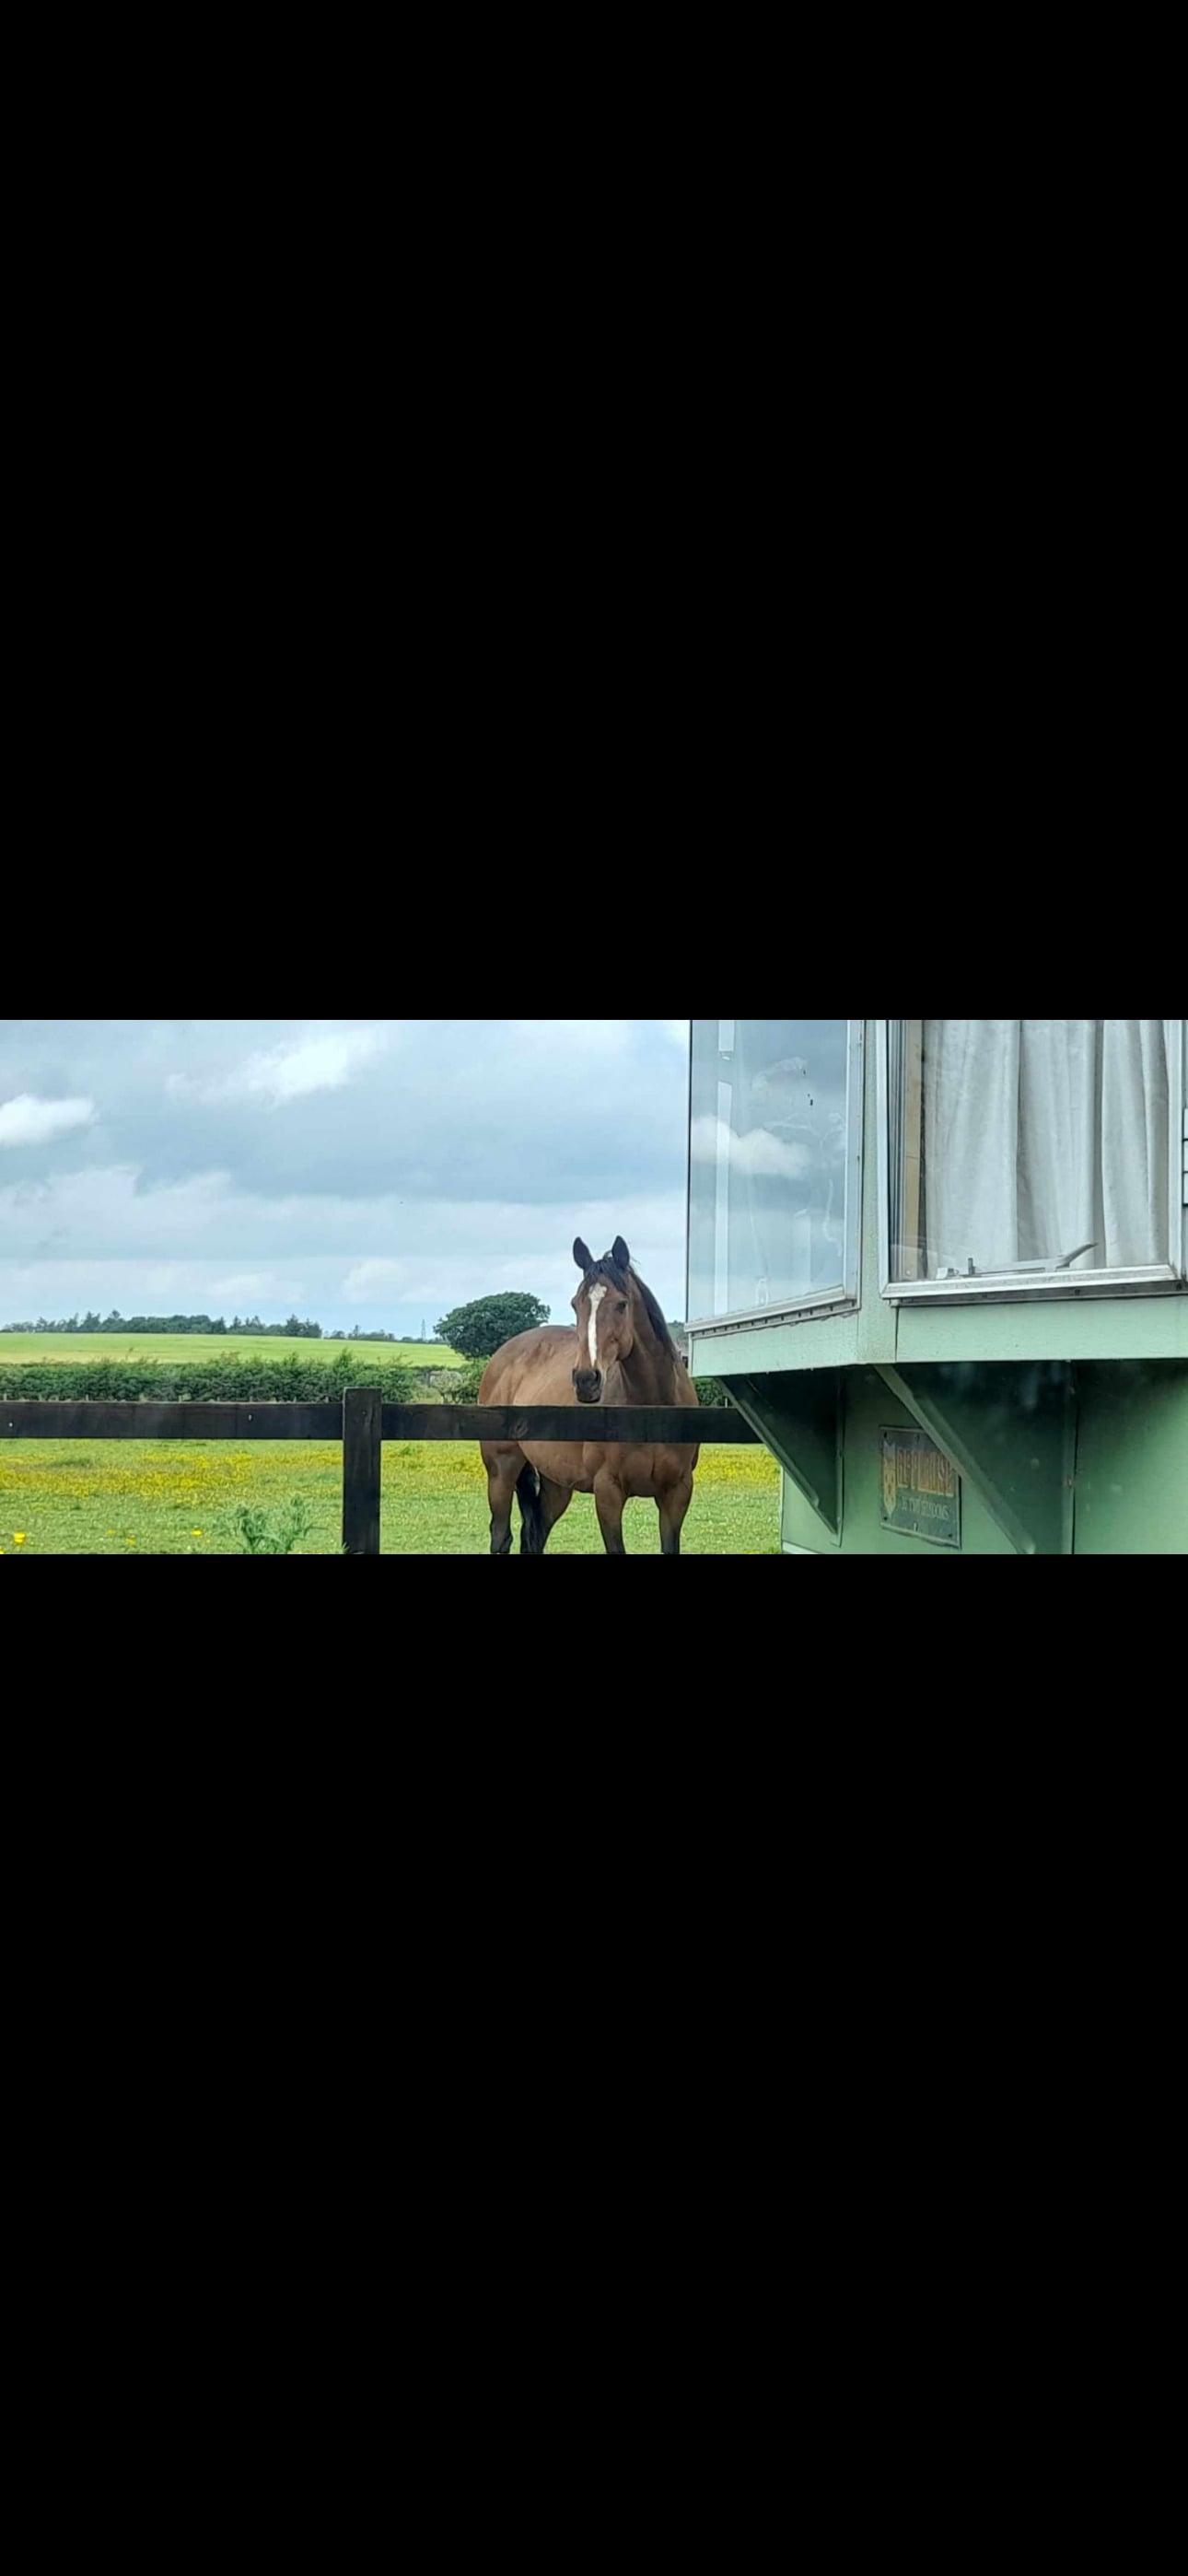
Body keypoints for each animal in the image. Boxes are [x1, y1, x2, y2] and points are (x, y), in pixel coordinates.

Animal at [479, 1234, 701, 1555]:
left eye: (621, 1304)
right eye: (576, 1304)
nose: (586, 1380)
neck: (651, 1409)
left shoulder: (677, 1493)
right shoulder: (608, 1492)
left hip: (556, 1483)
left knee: (535, 1534)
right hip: (501, 1471)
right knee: (500, 1536)